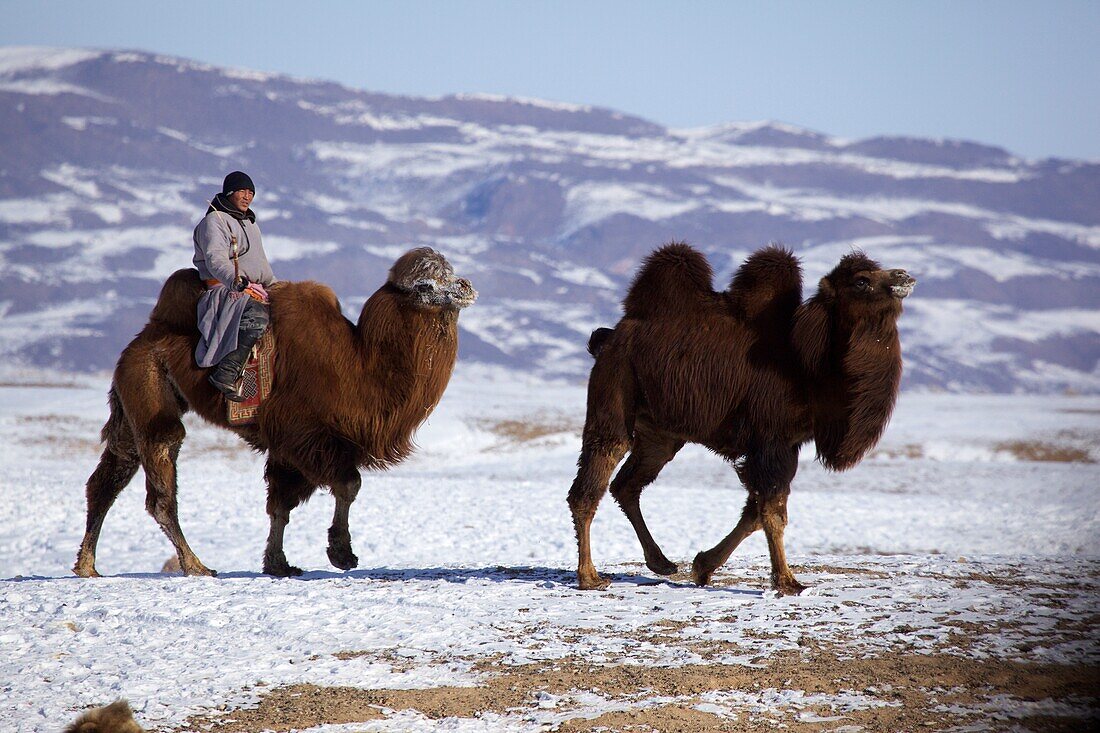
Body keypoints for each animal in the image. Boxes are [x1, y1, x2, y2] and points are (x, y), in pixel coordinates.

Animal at [72, 246, 477, 576]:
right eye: (424, 285)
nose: (465, 287)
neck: (360, 363)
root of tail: (142, 339)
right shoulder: (306, 437)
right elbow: (348, 485)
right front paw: (341, 554)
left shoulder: (289, 448)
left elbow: (280, 505)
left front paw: (278, 564)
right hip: (151, 397)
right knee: (160, 484)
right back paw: (195, 565)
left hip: (131, 405)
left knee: (107, 478)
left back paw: (87, 567)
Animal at [572, 244, 915, 594]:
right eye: (861, 281)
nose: (903, 275)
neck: (808, 365)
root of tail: (609, 339)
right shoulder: (771, 440)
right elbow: (772, 513)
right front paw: (788, 582)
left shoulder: (786, 445)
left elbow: (754, 513)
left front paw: (703, 567)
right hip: (614, 394)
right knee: (592, 480)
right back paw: (590, 576)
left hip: (661, 433)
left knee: (627, 484)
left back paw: (662, 563)